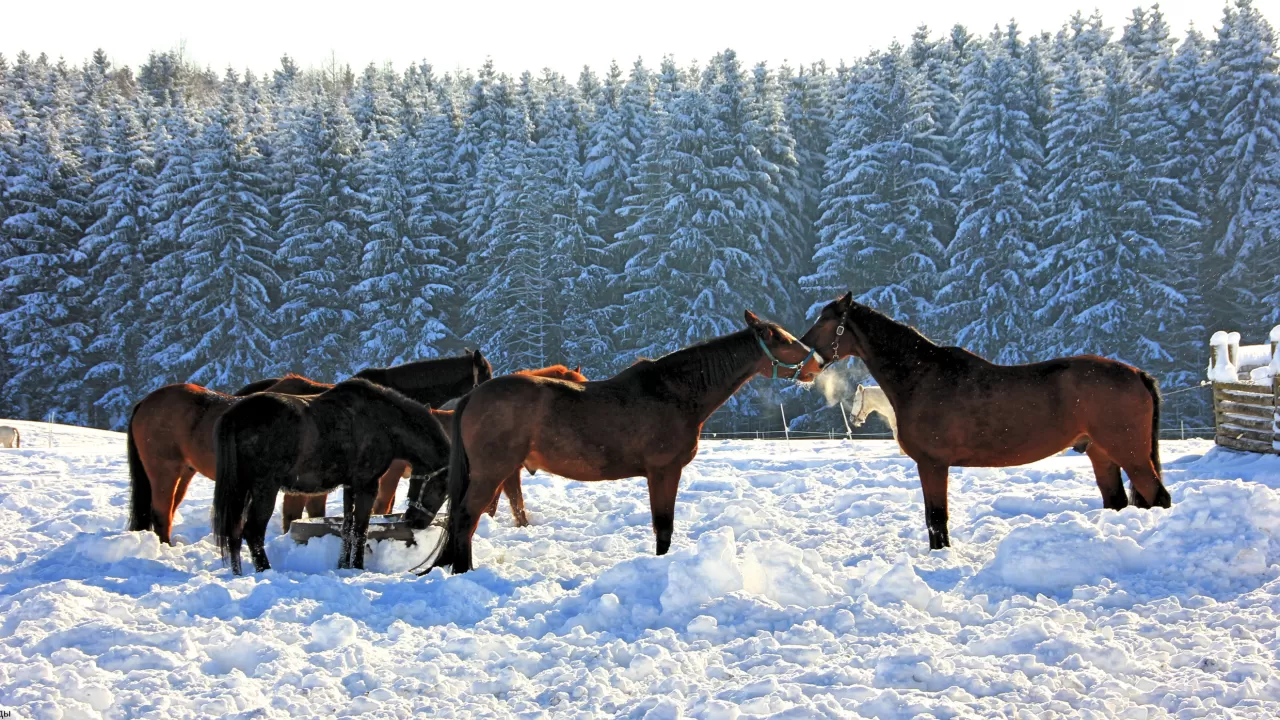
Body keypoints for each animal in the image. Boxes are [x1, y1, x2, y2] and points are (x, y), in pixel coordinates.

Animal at [127, 351, 491, 540]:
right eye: (486, 375)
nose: (481, 405)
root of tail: (146, 401)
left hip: (183, 473)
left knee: (166, 511)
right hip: (165, 472)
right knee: (161, 512)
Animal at [209, 376, 450, 571]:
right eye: (442, 489)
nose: (415, 521)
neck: (381, 421)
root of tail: (236, 414)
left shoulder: (350, 486)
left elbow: (346, 527)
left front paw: (343, 566)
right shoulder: (367, 485)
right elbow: (360, 529)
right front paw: (357, 567)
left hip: (241, 488)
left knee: (234, 532)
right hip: (264, 489)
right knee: (253, 532)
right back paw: (265, 571)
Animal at [430, 312, 824, 571]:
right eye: (784, 340)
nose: (819, 363)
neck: (674, 392)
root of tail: (475, 395)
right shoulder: (664, 471)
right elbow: (663, 526)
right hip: (490, 473)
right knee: (465, 519)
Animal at [798, 292, 1172, 548]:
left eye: (825, 321)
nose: (801, 363)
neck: (923, 378)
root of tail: (1136, 374)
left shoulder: (932, 464)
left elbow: (936, 518)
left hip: (1130, 454)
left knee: (1158, 497)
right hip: (1102, 454)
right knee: (1117, 502)